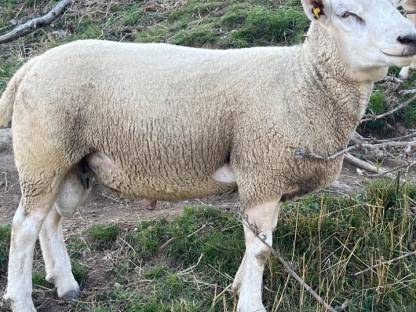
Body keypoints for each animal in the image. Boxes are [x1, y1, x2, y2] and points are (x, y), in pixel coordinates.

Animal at [0, 0, 416, 312]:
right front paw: (251, 303)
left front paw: (238, 287)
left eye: (397, 6)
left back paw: (64, 283)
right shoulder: (261, 170)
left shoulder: (266, 177)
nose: (408, 38)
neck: (303, 81)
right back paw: (21, 300)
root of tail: (29, 67)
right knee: (24, 227)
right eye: (348, 14)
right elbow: (261, 249)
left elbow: (259, 243)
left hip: (70, 163)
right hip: (43, 152)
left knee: (51, 218)